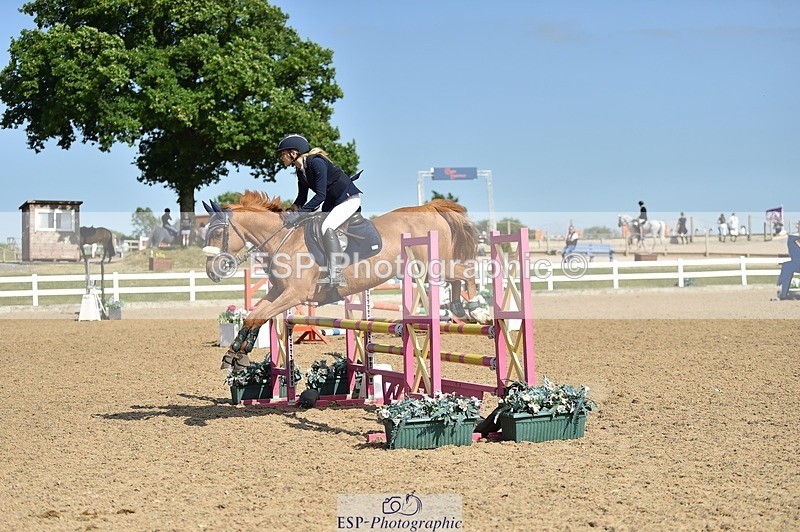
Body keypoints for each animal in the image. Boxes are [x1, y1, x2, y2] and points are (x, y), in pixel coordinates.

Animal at [203, 190, 481, 371]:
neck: (284, 240)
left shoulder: (294, 294)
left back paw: (475, 309)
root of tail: (430, 208)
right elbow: (254, 315)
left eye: (216, 233)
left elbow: (260, 315)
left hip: (434, 265)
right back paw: (458, 308)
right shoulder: (279, 292)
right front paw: (235, 354)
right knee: (458, 277)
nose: (212, 272)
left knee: (466, 272)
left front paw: (238, 355)